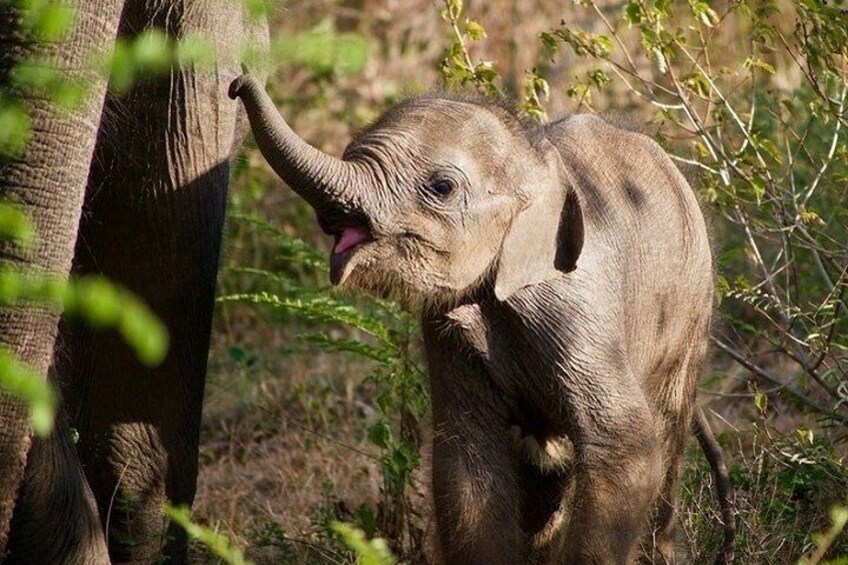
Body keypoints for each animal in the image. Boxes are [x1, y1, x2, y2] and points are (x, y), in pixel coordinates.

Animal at [230, 75, 716, 564]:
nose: (237, 84)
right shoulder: (446, 332)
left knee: (665, 434)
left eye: (442, 187)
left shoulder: (579, 313)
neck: (536, 162)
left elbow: (625, 440)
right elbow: (466, 460)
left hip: (691, 315)